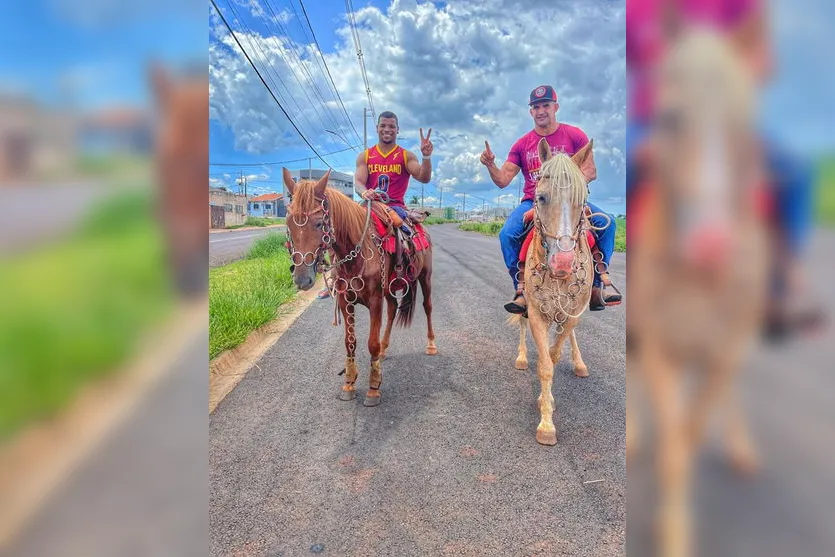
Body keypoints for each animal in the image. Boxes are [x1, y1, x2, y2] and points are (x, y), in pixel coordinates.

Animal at [280, 167, 438, 406]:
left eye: (319, 223)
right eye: (289, 222)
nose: (302, 279)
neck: (357, 251)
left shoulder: (374, 300)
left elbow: (371, 343)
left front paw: (373, 388)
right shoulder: (345, 300)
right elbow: (350, 342)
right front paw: (349, 382)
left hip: (424, 277)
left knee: (427, 307)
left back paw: (430, 344)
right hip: (389, 290)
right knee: (393, 310)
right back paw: (384, 349)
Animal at [512, 137, 596, 446]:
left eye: (581, 201)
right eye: (541, 198)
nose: (562, 264)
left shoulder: (572, 313)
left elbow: (554, 353)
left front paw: (544, 402)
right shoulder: (537, 312)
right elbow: (545, 364)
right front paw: (546, 424)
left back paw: (579, 363)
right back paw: (522, 357)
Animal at [628, 28, 772, 556]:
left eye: (746, 121)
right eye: (670, 117)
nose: (711, 245)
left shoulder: (723, 350)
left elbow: (689, 435)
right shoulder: (660, 347)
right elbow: (675, 446)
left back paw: (742, 447)